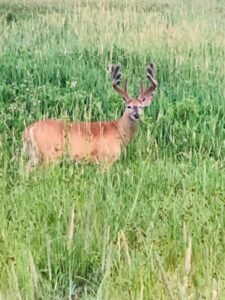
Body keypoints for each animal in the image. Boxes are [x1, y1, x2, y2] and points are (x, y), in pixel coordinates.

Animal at [22, 63, 157, 166]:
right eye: (128, 106)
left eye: (140, 107)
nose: (136, 115)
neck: (118, 130)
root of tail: (29, 129)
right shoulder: (105, 159)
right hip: (49, 154)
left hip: (34, 154)